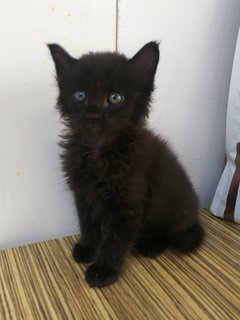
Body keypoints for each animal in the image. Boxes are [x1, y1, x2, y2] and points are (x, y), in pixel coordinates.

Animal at [47, 41, 203, 288]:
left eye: (115, 98)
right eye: (80, 95)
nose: (93, 115)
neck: (99, 153)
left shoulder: (127, 204)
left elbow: (114, 240)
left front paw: (104, 270)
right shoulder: (84, 195)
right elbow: (87, 224)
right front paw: (88, 248)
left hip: (173, 213)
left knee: (170, 233)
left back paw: (151, 245)